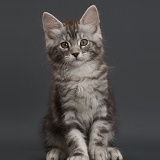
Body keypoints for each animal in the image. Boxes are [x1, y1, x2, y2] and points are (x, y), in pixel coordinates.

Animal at [41, 4, 122, 160]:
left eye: (83, 42)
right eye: (64, 45)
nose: (75, 53)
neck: (80, 74)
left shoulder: (103, 107)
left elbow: (99, 132)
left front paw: (99, 150)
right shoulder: (67, 112)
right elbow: (74, 137)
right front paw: (79, 155)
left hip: (111, 121)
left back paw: (111, 150)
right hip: (48, 124)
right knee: (55, 142)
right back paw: (55, 151)